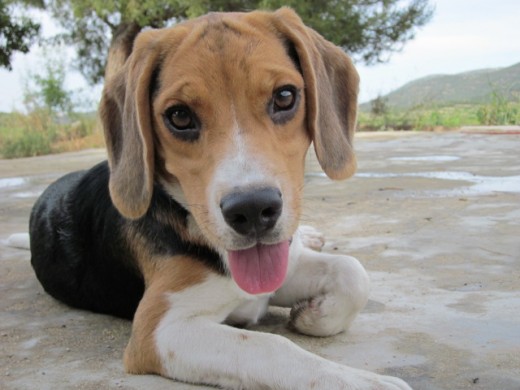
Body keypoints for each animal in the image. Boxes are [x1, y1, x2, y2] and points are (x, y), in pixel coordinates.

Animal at [29, 6, 410, 390]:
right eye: (179, 116)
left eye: (285, 97)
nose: (253, 210)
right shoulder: (160, 332)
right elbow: (270, 347)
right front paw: (360, 381)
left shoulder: (280, 271)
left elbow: (353, 273)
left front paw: (314, 316)